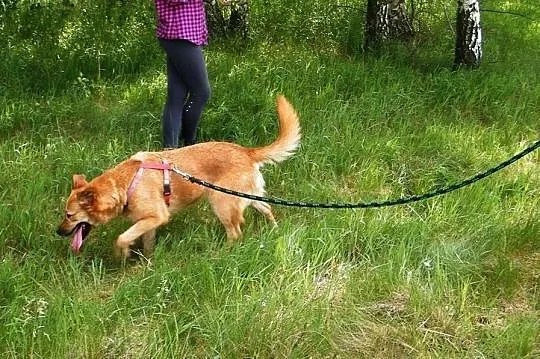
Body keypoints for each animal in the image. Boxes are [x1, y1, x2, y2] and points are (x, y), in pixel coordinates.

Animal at [57, 95, 302, 258]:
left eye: (69, 215)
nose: (58, 232)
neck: (124, 185)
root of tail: (246, 151)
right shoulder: (149, 221)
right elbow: (147, 243)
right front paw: (147, 264)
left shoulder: (157, 216)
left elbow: (122, 237)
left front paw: (123, 253)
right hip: (247, 197)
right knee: (267, 208)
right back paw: (274, 230)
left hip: (220, 202)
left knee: (235, 233)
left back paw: (222, 253)